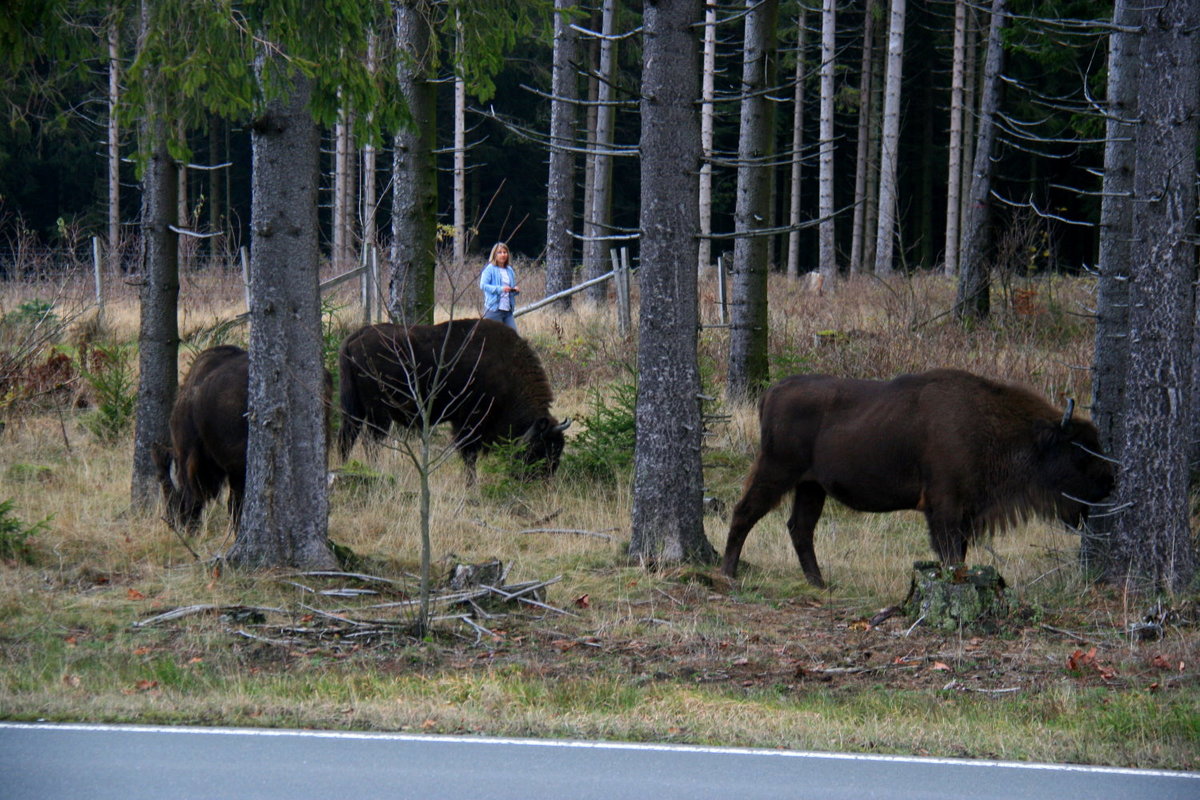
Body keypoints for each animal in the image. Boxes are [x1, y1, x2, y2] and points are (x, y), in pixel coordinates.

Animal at [333, 319, 566, 482]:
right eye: (539, 449)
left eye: (558, 449)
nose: (542, 479)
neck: (507, 369)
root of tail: (358, 336)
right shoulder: (469, 422)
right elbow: (469, 454)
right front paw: (471, 485)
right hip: (379, 413)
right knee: (370, 441)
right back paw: (374, 471)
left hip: (354, 407)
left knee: (347, 437)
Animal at [715, 371, 1118, 587]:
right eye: (1079, 451)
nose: (1108, 484)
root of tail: (773, 391)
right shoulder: (945, 508)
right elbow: (950, 554)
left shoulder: (964, 514)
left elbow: (958, 553)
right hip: (778, 471)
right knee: (745, 512)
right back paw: (729, 572)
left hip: (811, 486)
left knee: (800, 527)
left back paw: (819, 582)